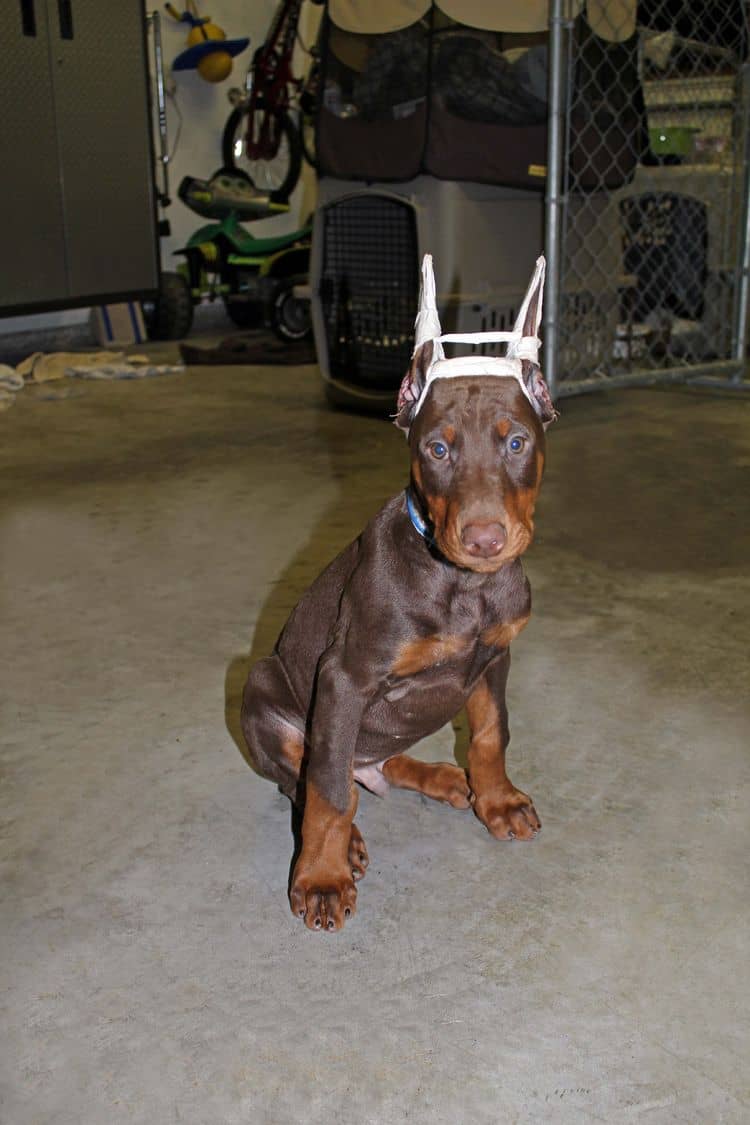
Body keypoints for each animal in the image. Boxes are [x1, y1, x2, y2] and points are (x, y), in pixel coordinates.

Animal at [241, 255, 557, 931]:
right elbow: (328, 791)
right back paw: (349, 842)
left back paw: (444, 777)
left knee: (376, 763)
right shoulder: (343, 678)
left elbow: (491, 732)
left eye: (516, 442)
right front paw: (322, 878)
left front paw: (496, 800)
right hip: (262, 686)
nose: (486, 539)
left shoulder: (495, 657)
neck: (463, 586)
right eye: (437, 448)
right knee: (310, 777)